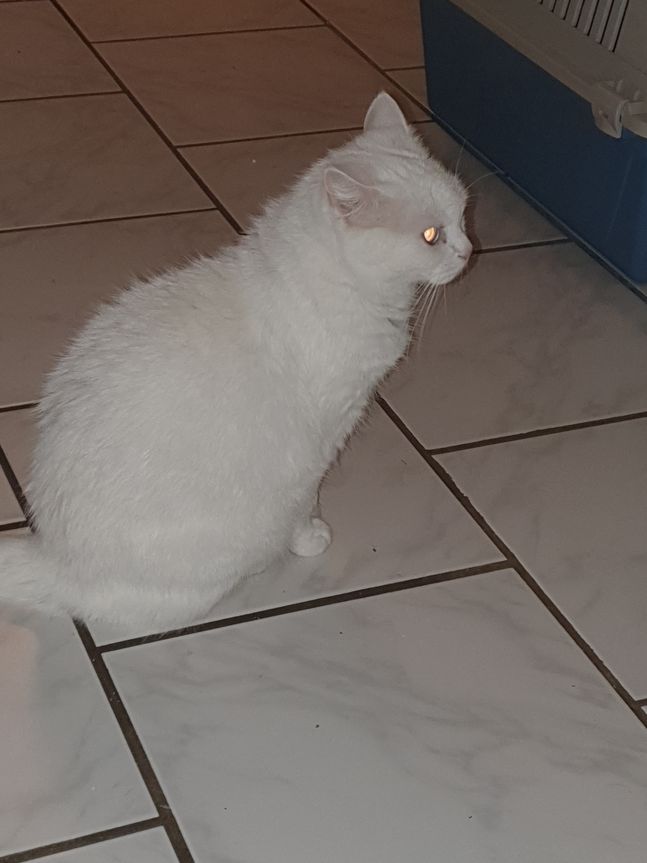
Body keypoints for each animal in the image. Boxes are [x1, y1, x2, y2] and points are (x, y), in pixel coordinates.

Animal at [0, 93, 471, 631]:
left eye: (463, 214)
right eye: (431, 236)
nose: (468, 251)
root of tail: (54, 558)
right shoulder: (322, 440)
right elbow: (306, 501)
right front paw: (310, 537)